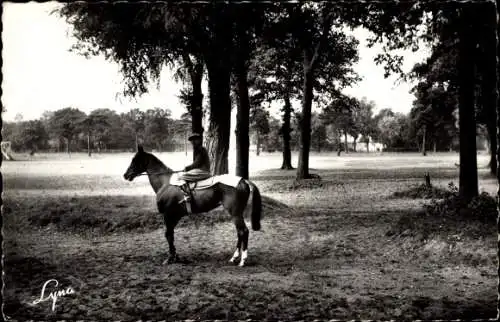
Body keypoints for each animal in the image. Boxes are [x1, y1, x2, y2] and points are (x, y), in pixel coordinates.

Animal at [122, 146, 262, 266]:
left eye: (135, 160)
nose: (126, 175)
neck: (165, 182)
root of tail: (243, 180)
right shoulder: (175, 216)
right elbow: (171, 234)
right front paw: (175, 256)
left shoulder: (168, 215)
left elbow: (168, 234)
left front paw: (170, 258)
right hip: (236, 214)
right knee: (239, 232)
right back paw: (234, 257)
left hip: (235, 213)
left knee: (243, 231)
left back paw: (242, 260)